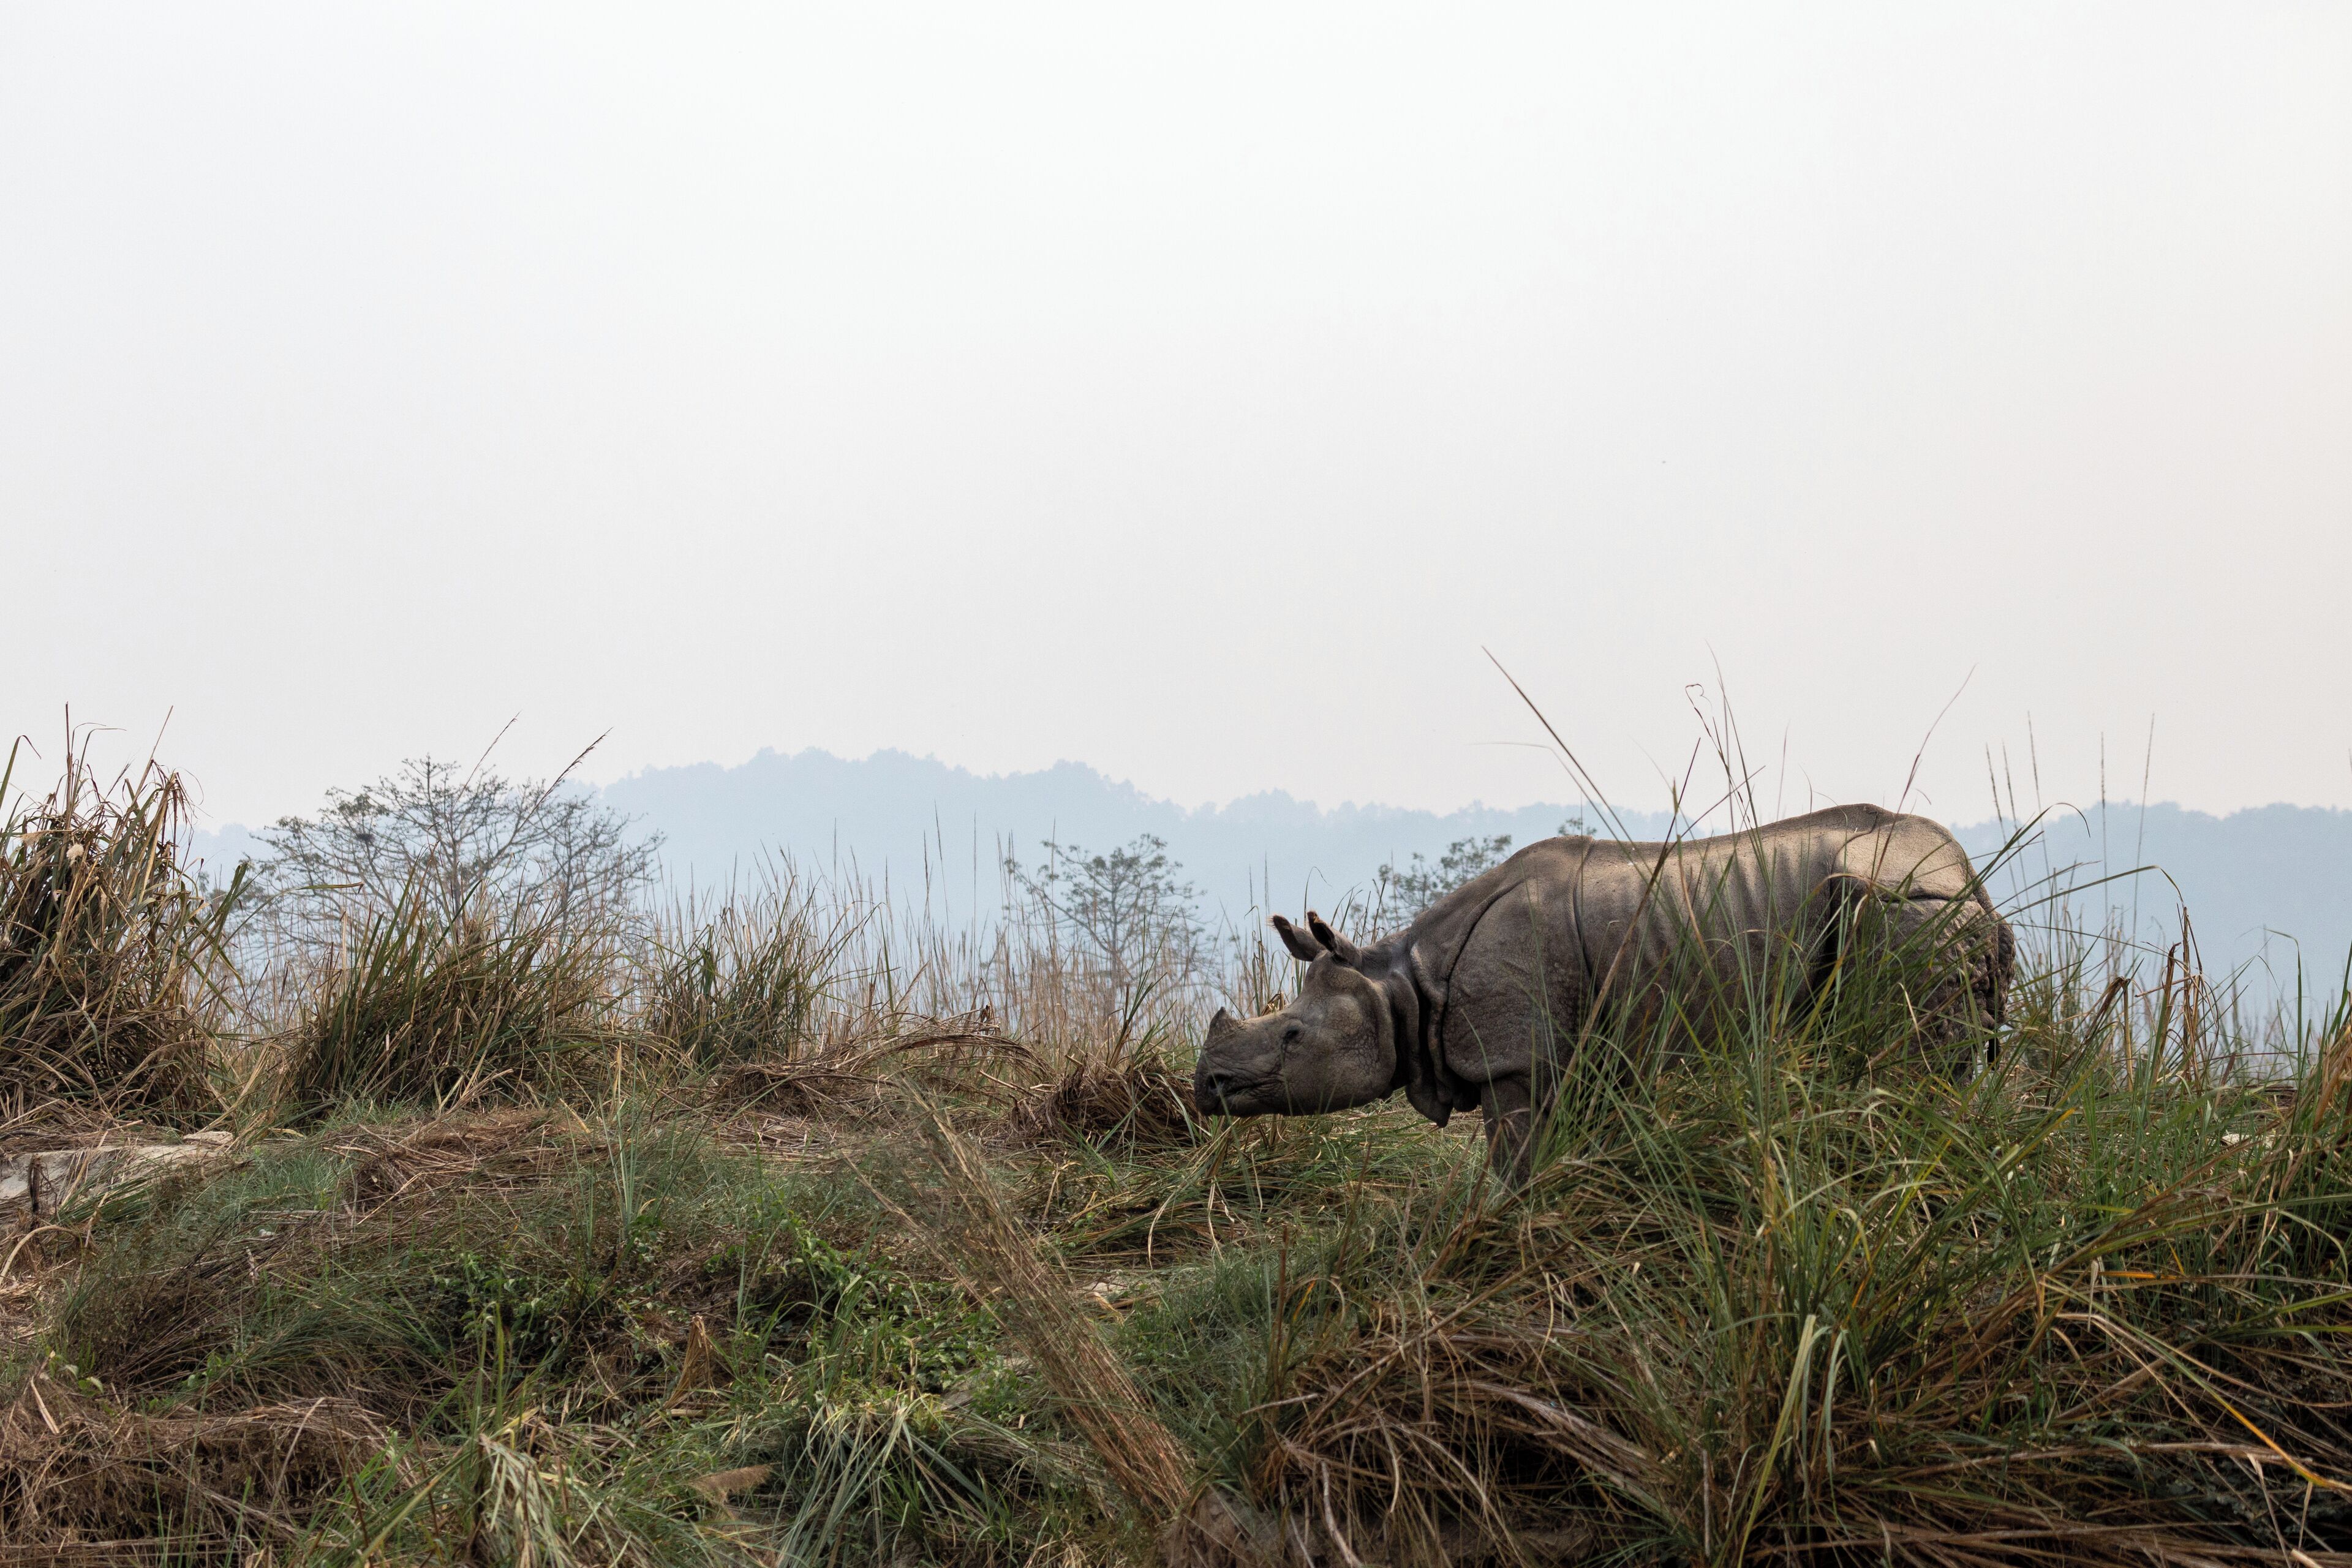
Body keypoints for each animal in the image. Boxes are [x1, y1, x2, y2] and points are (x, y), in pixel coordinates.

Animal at [1192, 804, 2013, 1179]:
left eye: (1293, 1037)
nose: (1206, 1087)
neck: (1401, 984)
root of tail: (1974, 885)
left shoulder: (1516, 1058)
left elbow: (1516, 1161)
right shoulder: (1576, 1050)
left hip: (1909, 913)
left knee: (1904, 1064)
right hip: (1924, 915)